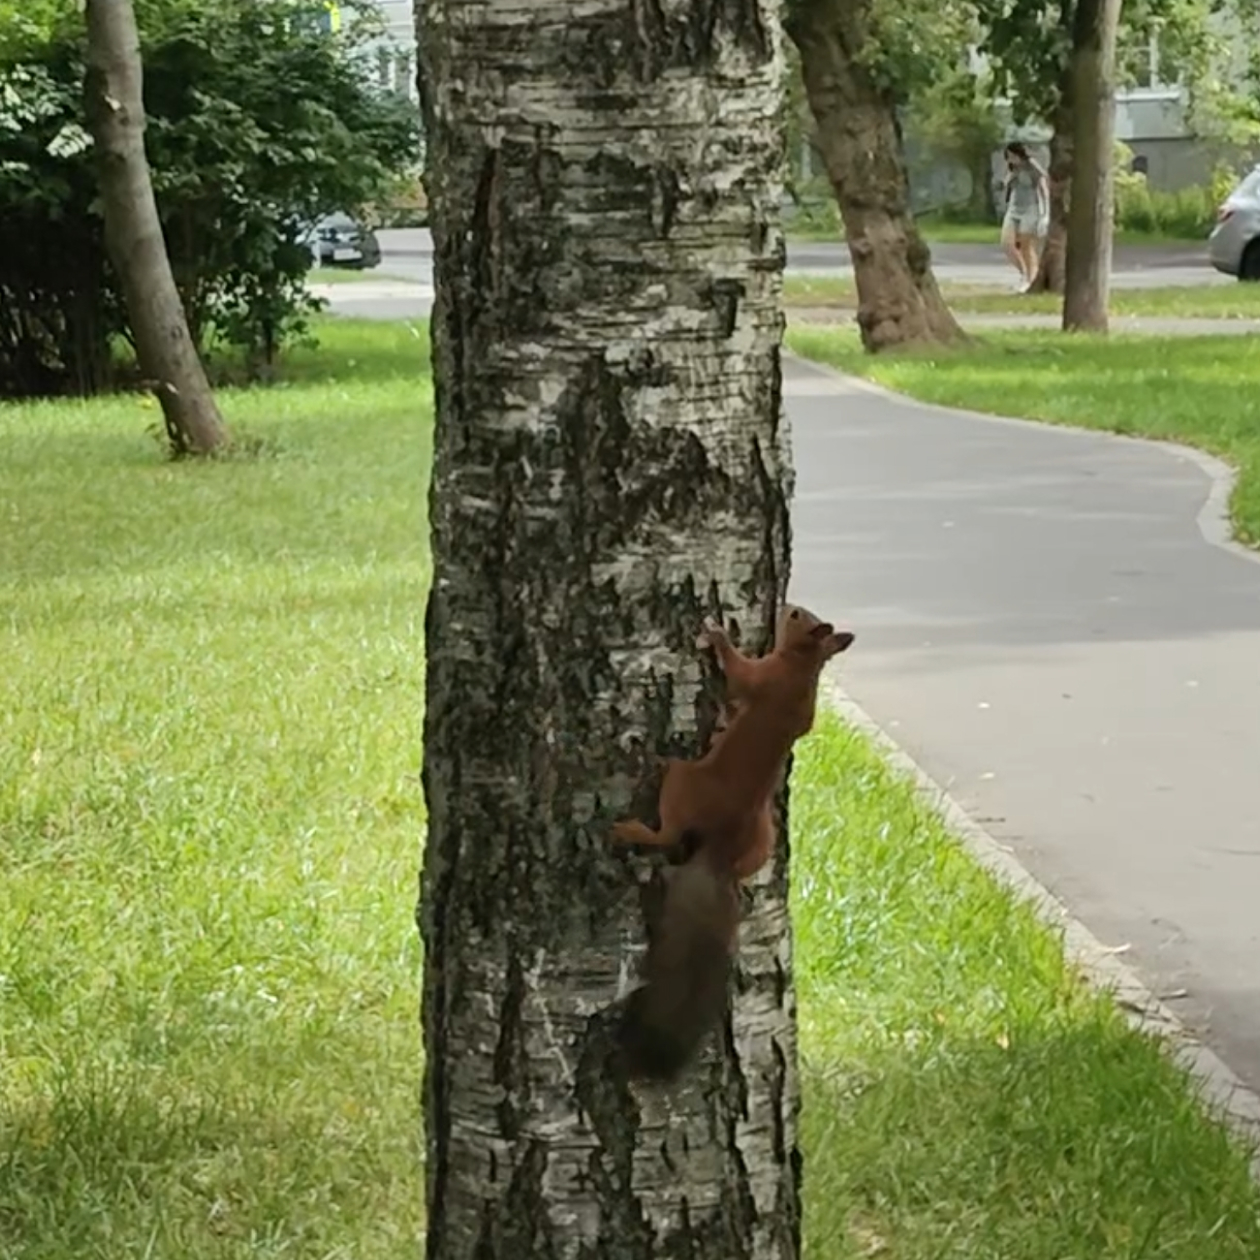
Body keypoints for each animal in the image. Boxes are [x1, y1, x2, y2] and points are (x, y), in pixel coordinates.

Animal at [611, 605, 854, 1081]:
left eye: (796, 616)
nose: (785, 606)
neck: (803, 667)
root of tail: (720, 854)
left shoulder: (762, 679)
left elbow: (739, 675)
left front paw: (717, 633)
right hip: (764, 837)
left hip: (683, 783)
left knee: (668, 831)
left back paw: (635, 817)